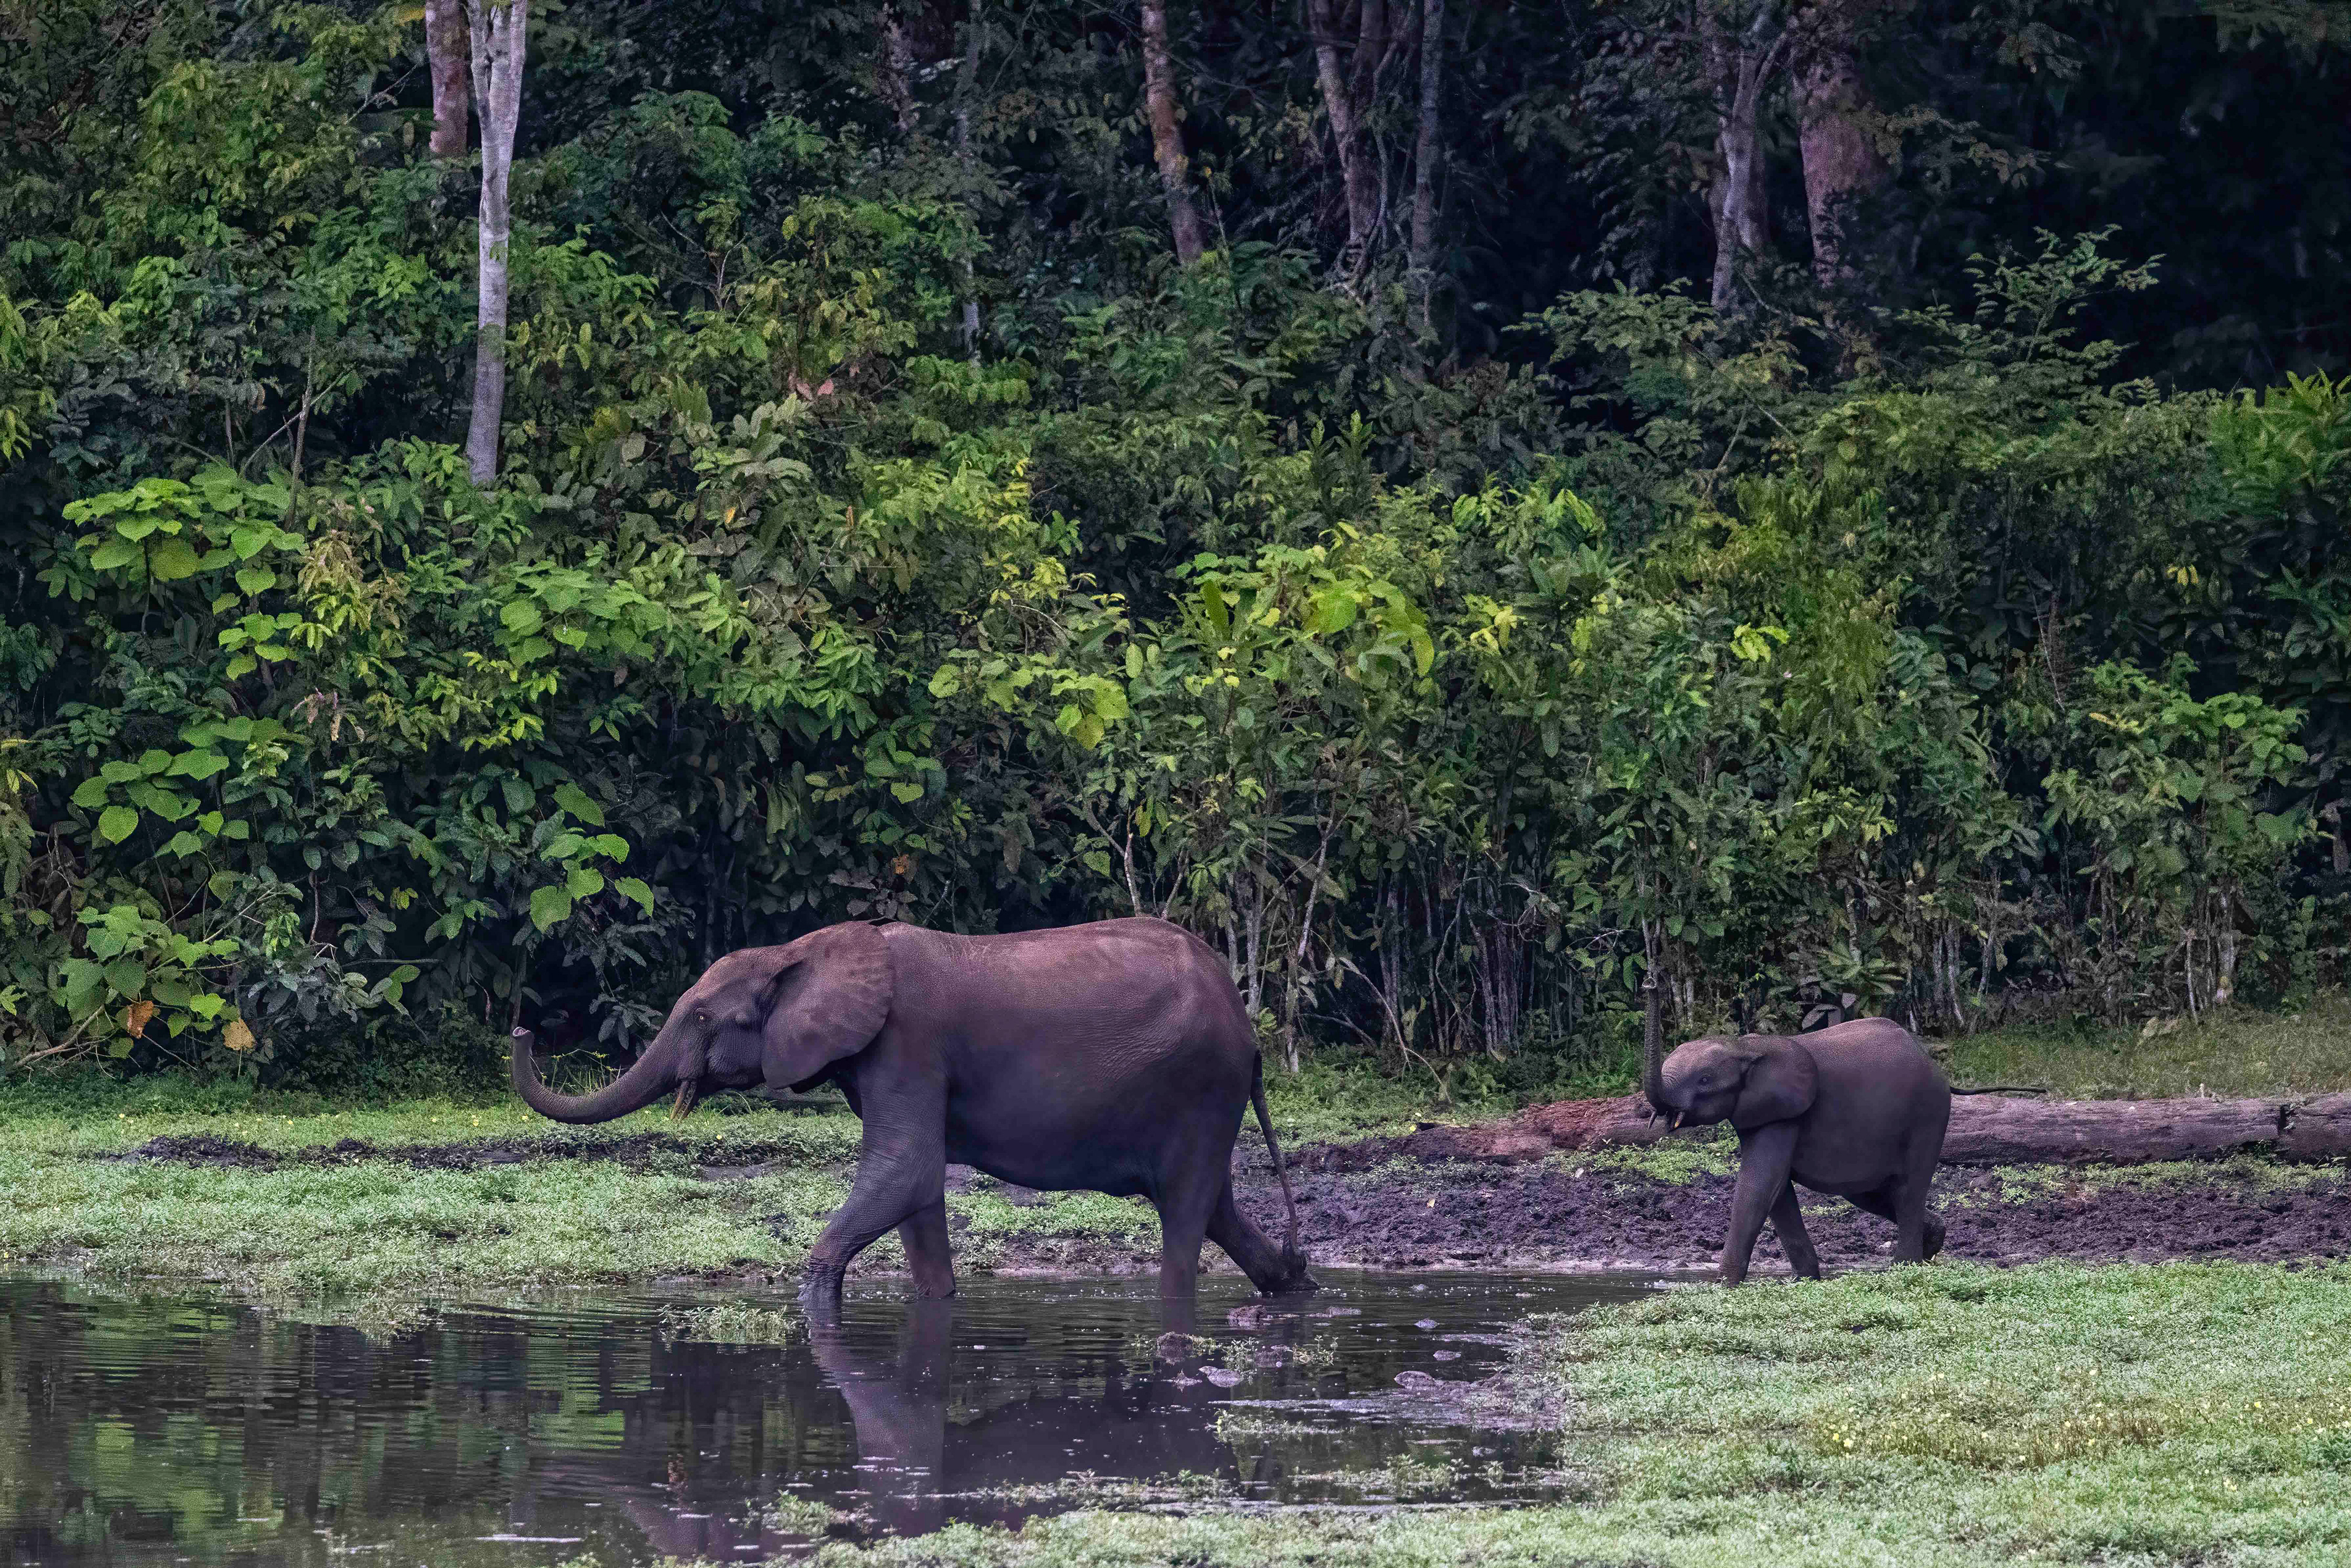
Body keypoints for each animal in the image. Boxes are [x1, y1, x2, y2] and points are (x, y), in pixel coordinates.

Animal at [510, 916, 1316, 1304]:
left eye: (704, 1016)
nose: (523, 1027)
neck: (803, 949)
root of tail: (1248, 1029)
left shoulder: (908, 1041)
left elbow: (907, 1169)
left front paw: (813, 1300)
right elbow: (916, 1193)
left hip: (1201, 1082)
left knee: (1185, 1217)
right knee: (1214, 1207)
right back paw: (1294, 1281)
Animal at [1639, 974, 1952, 1284]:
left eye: (1704, 1080)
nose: (1650, 982)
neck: (1744, 1047)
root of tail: (1929, 1060)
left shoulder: (1786, 1113)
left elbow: (1760, 1186)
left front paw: (1723, 1286)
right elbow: (1777, 1190)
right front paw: (1805, 1280)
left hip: (1929, 1115)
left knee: (1908, 1190)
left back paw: (1904, 1267)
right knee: (1870, 1193)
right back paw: (1932, 1244)